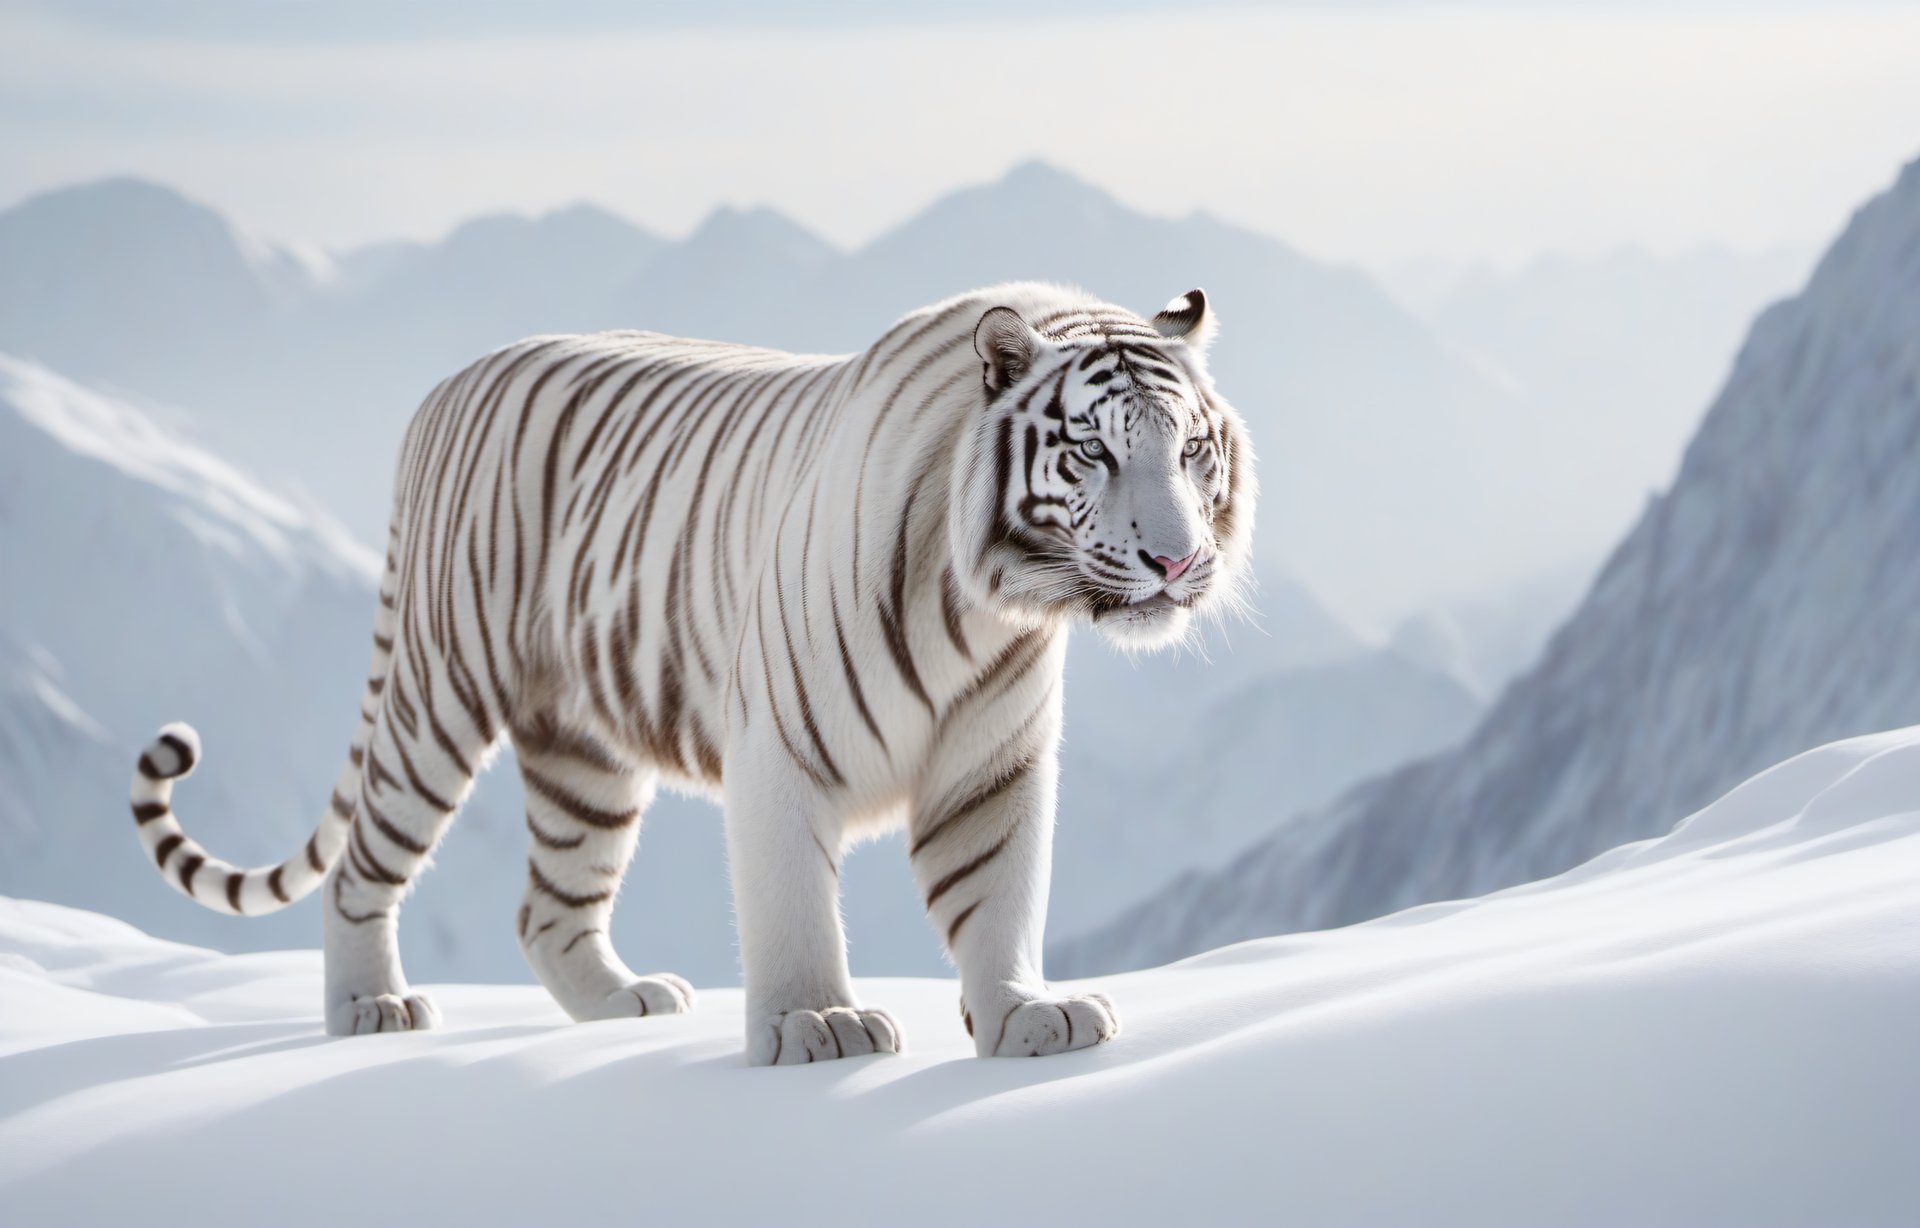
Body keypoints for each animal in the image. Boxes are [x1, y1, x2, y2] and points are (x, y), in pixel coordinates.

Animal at [127, 282, 1255, 1063]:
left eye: (1193, 451)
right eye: (1094, 454)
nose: (1175, 561)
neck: (988, 610)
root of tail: (442, 390)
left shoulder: (991, 760)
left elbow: (996, 891)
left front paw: (1028, 1015)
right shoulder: (784, 748)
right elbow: (793, 903)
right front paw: (817, 1024)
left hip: (582, 753)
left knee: (549, 907)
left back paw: (620, 1004)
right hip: (440, 694)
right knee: (364, 862)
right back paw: (371, 1007)